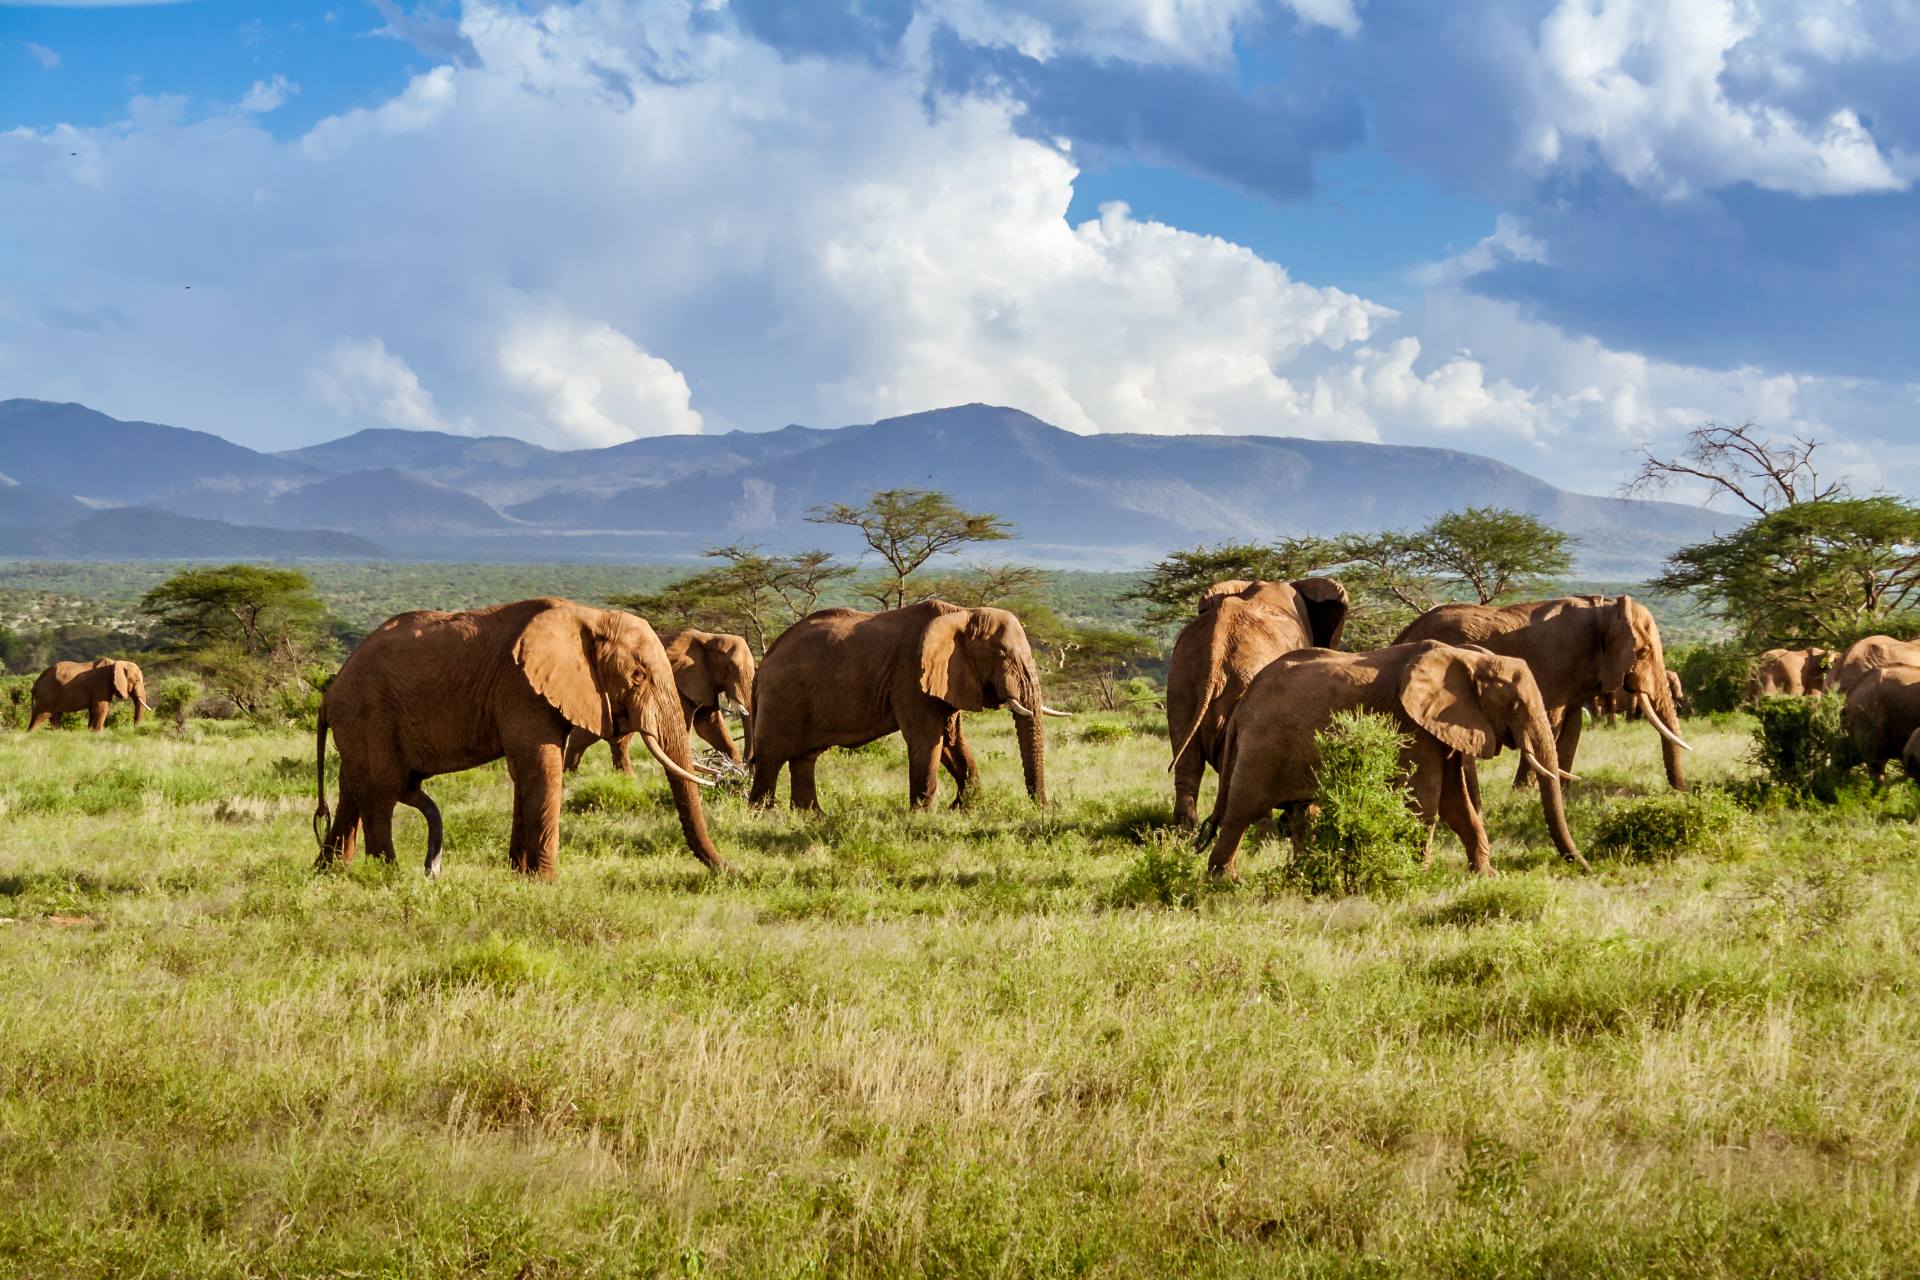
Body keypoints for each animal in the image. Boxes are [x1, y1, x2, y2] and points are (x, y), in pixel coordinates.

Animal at [314, 598, 721, 882]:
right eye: (637, 675)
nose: (726, 871)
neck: (588, 616)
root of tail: (330, 692)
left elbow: (524, 774)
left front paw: (520, 876)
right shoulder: (523, 689)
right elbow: (542, 768)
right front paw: (545, 883)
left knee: (354, 789)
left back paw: (330, 874)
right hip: (368, 714)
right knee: (381, 791)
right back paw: (388, 876)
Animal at [741, 602, 1067, 809]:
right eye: (1001, 655)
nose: (1042, 808)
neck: (964, 613)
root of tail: (764, 661)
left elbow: (952, 741)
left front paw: (964, 808)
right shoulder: (911, 677)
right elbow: (927, 738)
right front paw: (923, 816)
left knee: (804, 758)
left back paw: (811, 817)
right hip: (782, 699)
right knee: (771, 758)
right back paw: (763, 816)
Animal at [1198, 640, 1589, 882]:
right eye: (1514, 704)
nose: (1584, 867)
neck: (1467, 659)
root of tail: (1243, 705)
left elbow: (1455, 802)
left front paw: (1486, 876)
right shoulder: (1411, 724)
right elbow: (1426, 798)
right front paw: (1419, 875)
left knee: (1301, 813)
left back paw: (1302, 875)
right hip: (1263, 746)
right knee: (1242, 810)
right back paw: (1226, 881)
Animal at [1390, 598, 1689, 790]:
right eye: (1643, 652)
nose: (1681, 791)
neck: (1607, 609)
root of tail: (1404, 633)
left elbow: (1572, 726)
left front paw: (1564, 792)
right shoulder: (1558, 663)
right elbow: (1554, 722)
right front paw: (1524, 792)